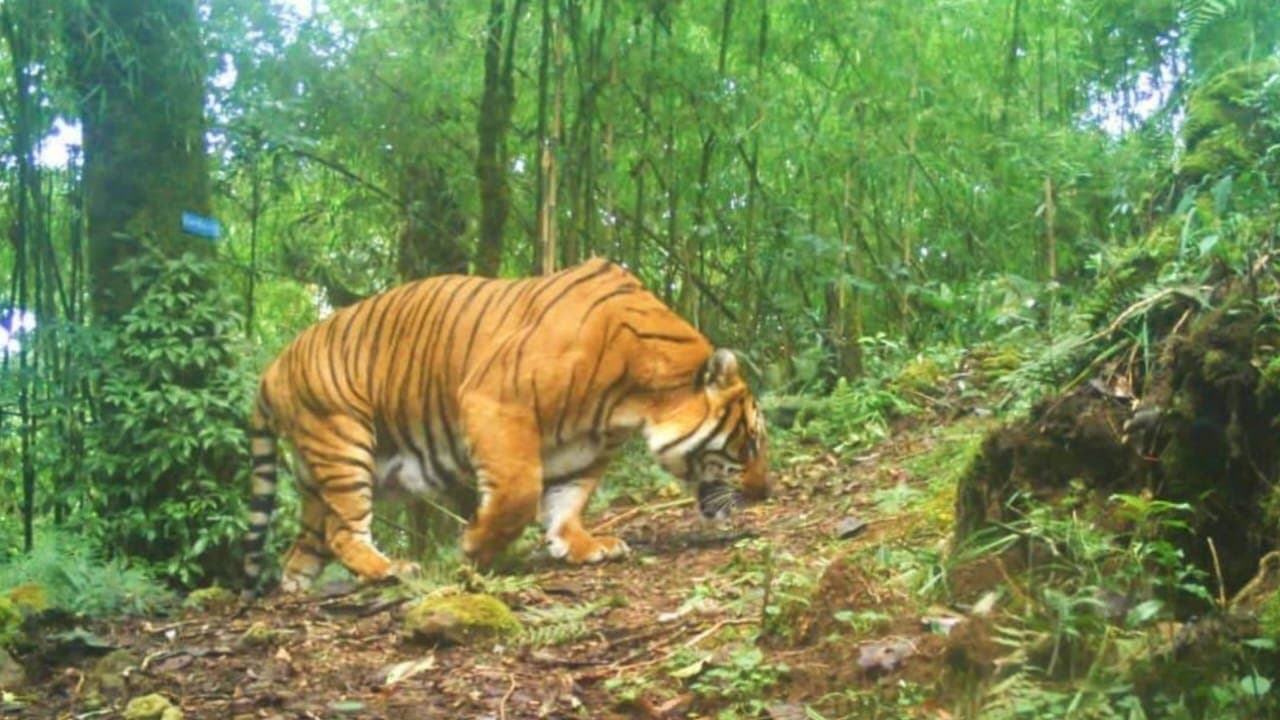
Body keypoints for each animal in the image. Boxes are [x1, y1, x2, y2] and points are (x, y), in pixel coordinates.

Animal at [242, 257, 769, 595]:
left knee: (305, 546)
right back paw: (390, 569)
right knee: (343, 532)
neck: (636, 400)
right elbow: (519, 491)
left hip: (317, 477)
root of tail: (271, 368)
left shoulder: (587, 447)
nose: (767, 493)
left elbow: (568, 501)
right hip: (343, 442)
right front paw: (474, 548)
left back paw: (294, 589)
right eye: (749, 444)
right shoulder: (495, 401)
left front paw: (581, 545)